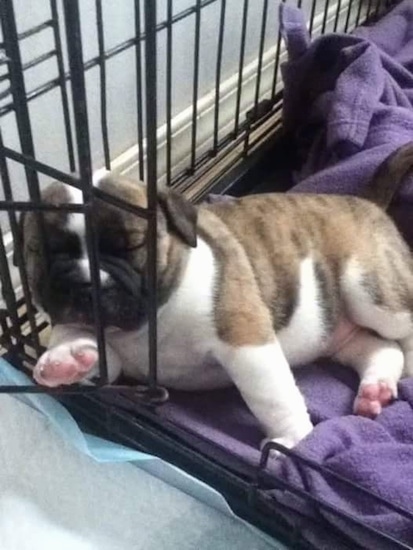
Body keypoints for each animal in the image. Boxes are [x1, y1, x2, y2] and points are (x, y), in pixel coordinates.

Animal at [20, 142, 413, 452]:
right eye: (40, 252)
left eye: (130, 246)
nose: (85, 282)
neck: (152, 320)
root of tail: (366, 203)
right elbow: (96, 357)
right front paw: (66, 358)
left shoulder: (245, 339)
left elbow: (270, 396)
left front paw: (292, 440)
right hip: (340, 331)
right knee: (379, 347)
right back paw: (375, 389)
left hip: (369, 289)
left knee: (400, 329)